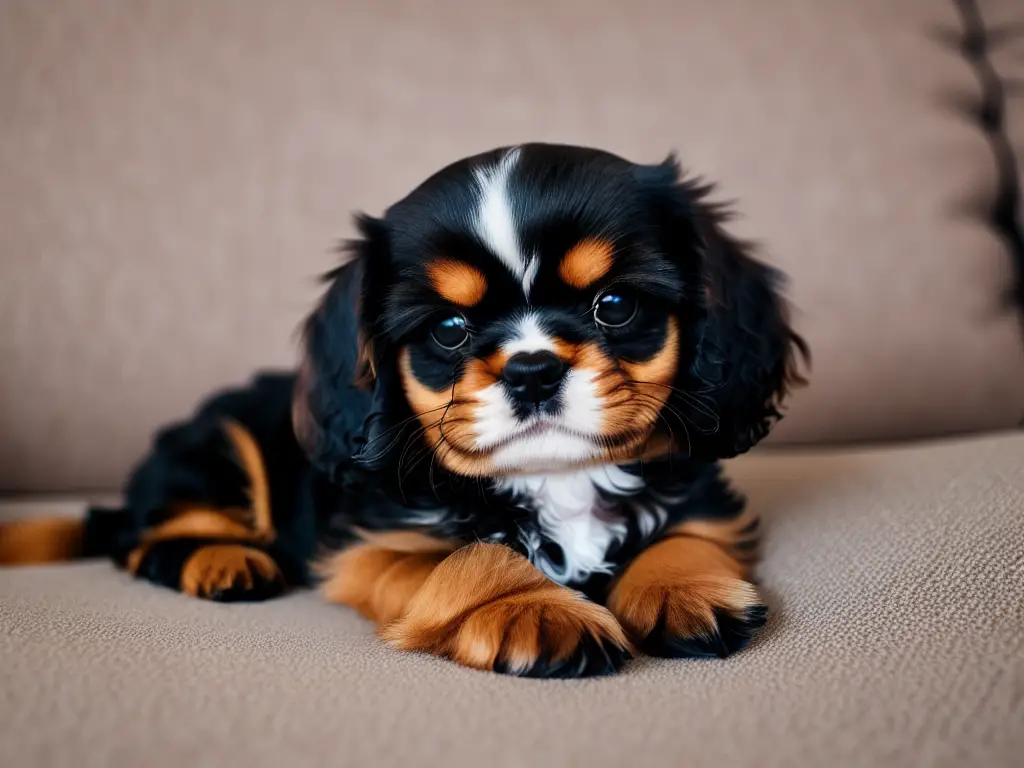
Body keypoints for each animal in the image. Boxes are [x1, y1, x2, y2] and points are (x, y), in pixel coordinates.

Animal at [0, 144, 806, 679]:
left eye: (615, 306)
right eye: (448, 331)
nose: (533, 370)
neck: (556, 480)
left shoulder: (701, 497)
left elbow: (684, 531)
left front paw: (683, 589)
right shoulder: (371, 546)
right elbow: (474, 556)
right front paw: (538, 610)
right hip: (215, 448)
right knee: (141, 542)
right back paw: (225, 561)